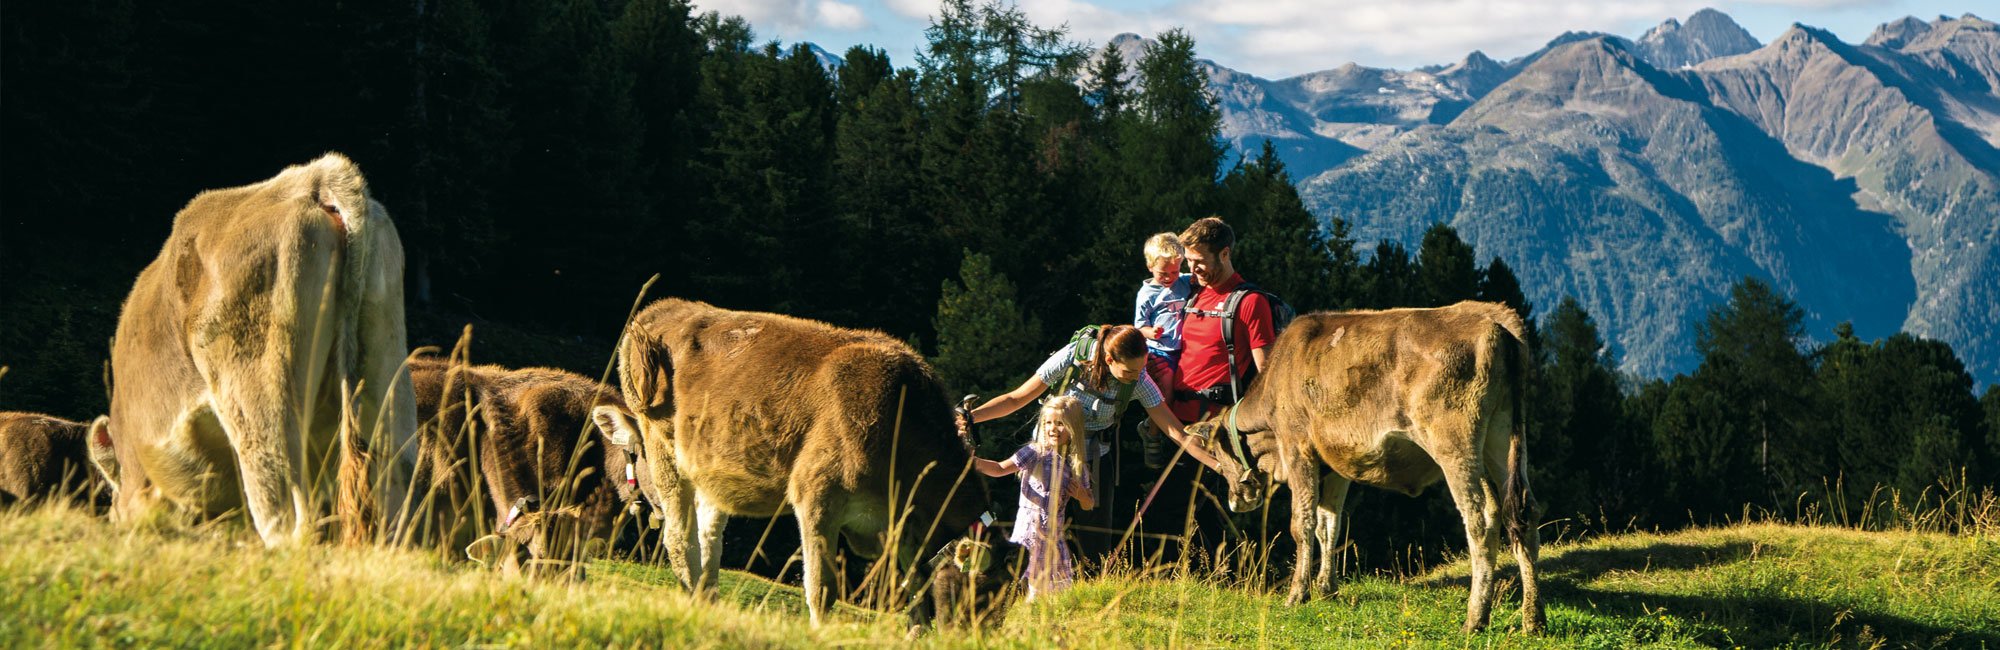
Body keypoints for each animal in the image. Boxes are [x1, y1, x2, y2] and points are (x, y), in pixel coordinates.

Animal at [600, 298, 992, 624]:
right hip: (664, 451)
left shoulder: (899, 526)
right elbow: (822, 589)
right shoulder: (817, 494)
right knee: (681, 540)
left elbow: (913, 593)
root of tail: (661, 310)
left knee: (709, 540)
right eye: (987, 592)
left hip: (707, 464)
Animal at [1184, 300, 1544, 632]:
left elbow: (1302, 524)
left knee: (1480, 517)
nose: (1235, 500)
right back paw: (1533, 619)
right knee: (1522, 514)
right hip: (1501, 438)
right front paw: (1327, 589)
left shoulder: (1297, 447)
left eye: (1214, 453)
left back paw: (1475, 618)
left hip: (1453, 442)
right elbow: (1329, 526)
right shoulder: (1335, 463)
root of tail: (1494, 316)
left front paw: (1297, 594)